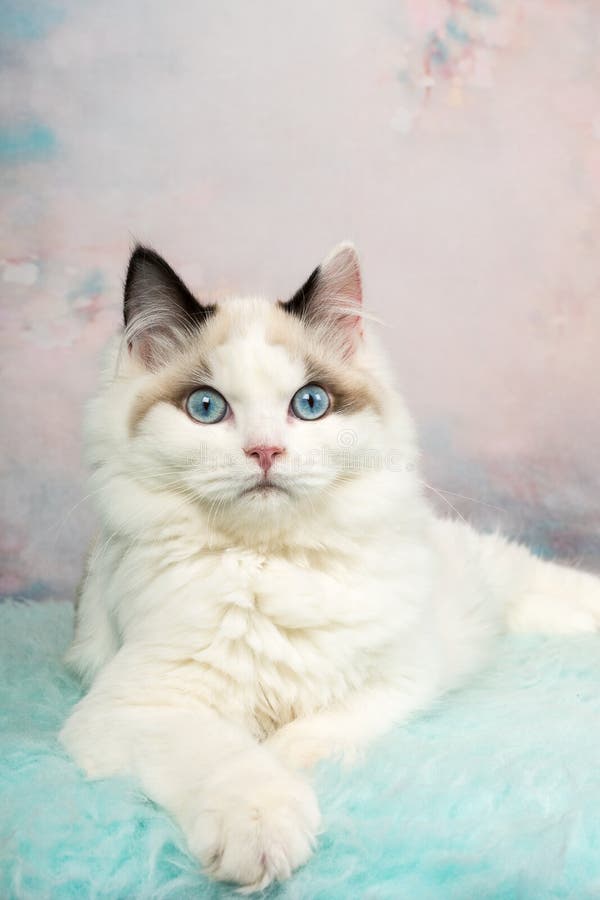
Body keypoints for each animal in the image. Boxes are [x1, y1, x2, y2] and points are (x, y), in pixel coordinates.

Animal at [59, 243, 600, 888]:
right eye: (206, 408)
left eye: (310, 404)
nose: (265, 451)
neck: (271, 564)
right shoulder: (137, 705)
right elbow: (231, 757)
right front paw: (261, 825)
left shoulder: (394, 678)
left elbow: (302, 738)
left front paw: (285, 779)